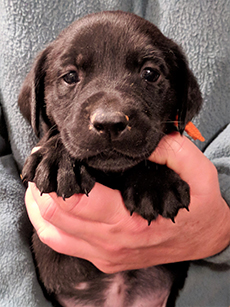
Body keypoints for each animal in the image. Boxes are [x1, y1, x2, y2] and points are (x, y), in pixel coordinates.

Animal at [18, 10, 201, 306]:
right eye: (70, 76)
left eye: (150, 73)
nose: (109, 123)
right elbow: (58, 134)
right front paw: (59, 161)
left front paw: (155, 183)